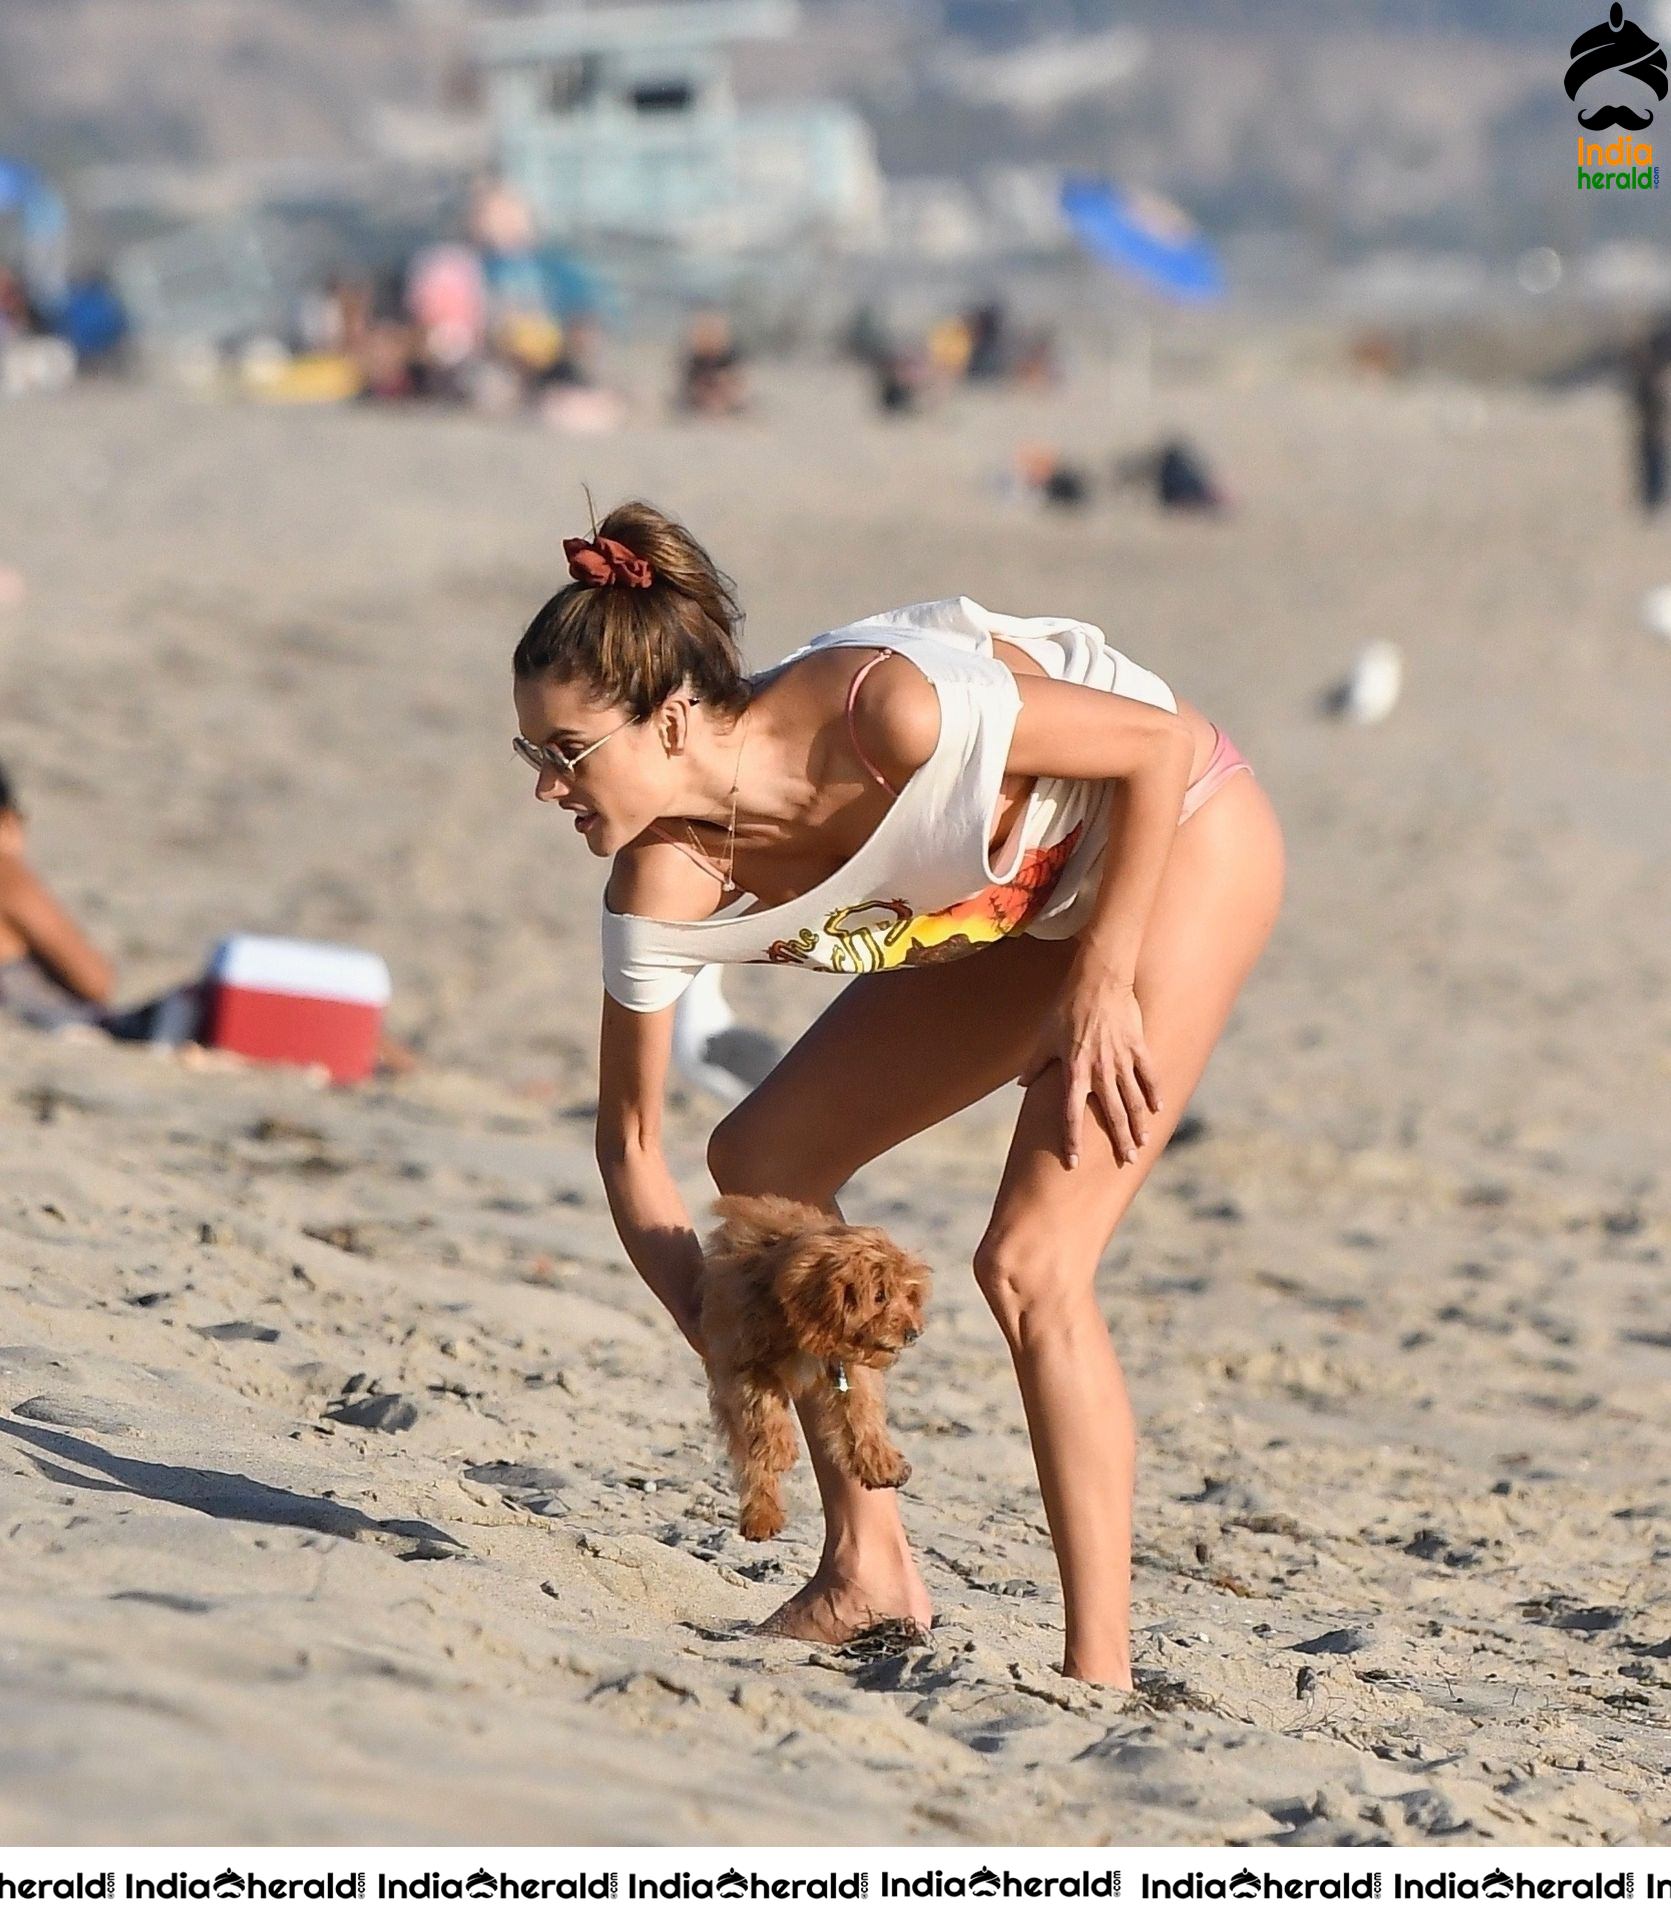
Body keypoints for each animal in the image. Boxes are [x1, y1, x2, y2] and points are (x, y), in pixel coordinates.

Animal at [699, 1190, 937, 1536]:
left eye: (909, 1295)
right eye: (879, 1295)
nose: (913, 1332)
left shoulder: (848, 1367)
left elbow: (862, 1411)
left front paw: (882, 1465)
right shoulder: (743, 1360)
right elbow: (762, 1405)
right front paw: (779, 1448)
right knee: (749, 1456)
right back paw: (761, 1513)